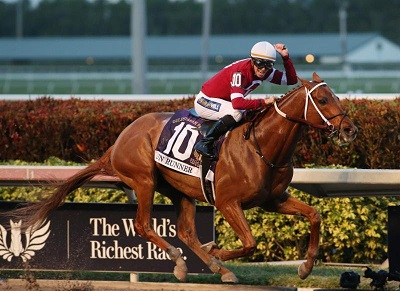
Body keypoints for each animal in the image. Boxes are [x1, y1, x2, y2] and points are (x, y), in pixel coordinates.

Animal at [12, 73, 358, 286]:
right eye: (323, 100)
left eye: (335, 96)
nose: (350, 129)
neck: (262, 145)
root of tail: (119, 139)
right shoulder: (228, 202)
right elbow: (249, 242)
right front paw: (218, 251)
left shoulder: (273, 200)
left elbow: (314, 215)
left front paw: (306, 266)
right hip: (144, 181)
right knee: (143, 224)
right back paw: (183, 261)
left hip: (180, 190)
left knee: (186, 231)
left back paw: (211, 268)